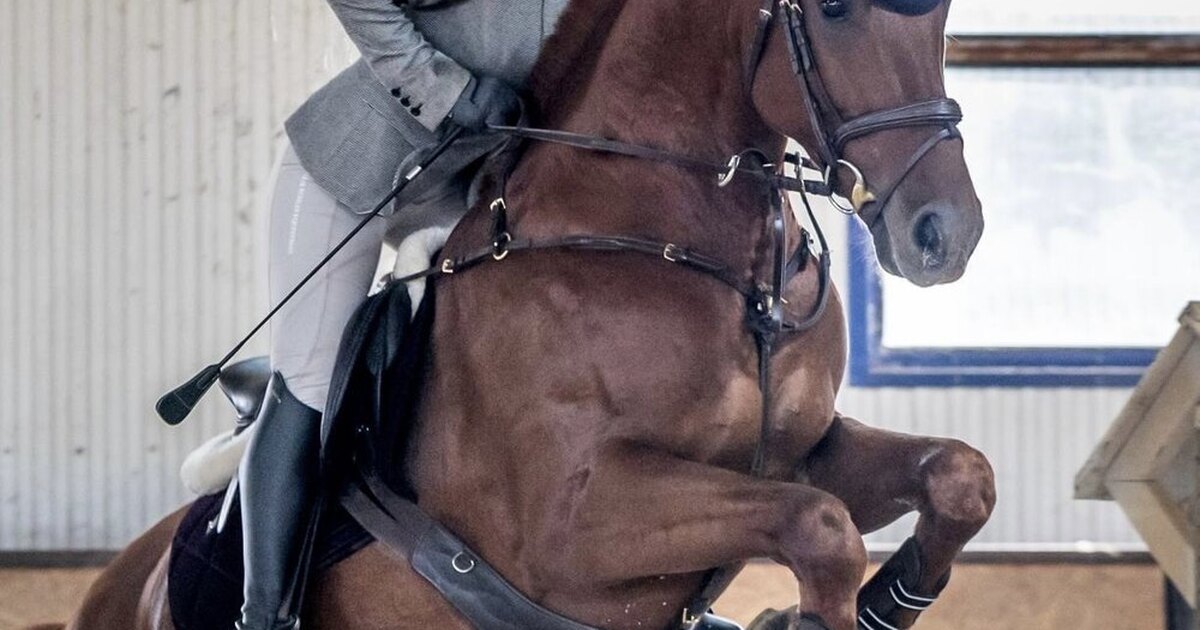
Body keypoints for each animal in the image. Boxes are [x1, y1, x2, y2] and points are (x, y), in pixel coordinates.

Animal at [53, 0, 994, 628]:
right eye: (832, 10)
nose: (945, 235)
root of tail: (119, 579)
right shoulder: (569, 526)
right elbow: (822, 526)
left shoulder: (799, 451)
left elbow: (957, 475)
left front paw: (890, 598)